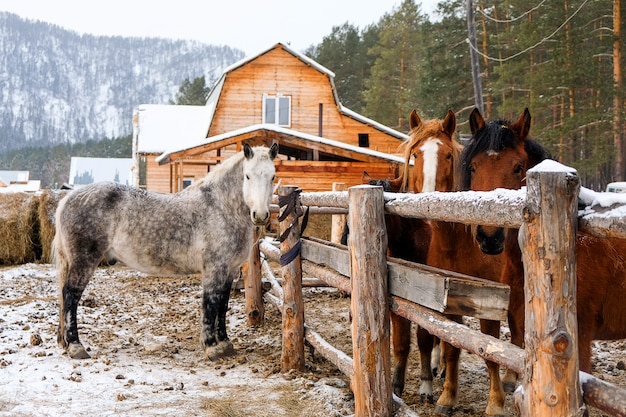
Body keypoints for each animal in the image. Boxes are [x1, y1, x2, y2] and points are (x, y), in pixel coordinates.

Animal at [53, 143, 278, 358]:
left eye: (273, 176)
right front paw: (211, 347)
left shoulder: (229, 270)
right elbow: (210, 304)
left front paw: (225, 343)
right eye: (247, 175)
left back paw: (65, 343)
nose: (260, 215)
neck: (220, 208)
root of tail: (68, 198)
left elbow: (222, 305)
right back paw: (76, 346)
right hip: (84, 262)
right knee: (70, 296)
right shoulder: (214, 269)